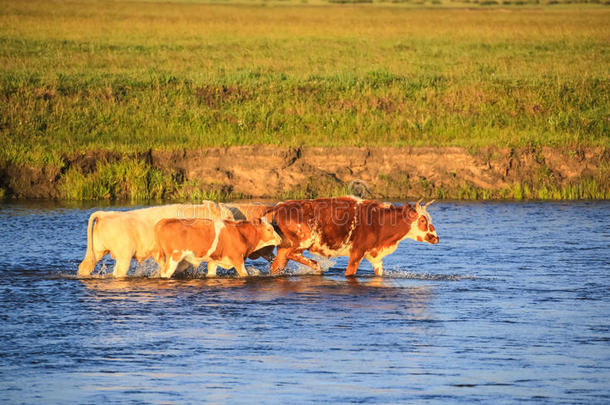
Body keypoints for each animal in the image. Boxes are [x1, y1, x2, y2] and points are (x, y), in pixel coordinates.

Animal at [154, 218, 282, 278]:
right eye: (269, 229)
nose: (280, 239)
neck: (240, 234)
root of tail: (165, 221)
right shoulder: (237, 259)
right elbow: (245, 274)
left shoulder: (213, 261)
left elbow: (211, 274)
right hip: (174, 257)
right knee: (165, 273)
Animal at [266, 196, 436, 278]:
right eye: (422, 220)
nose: (435, 238)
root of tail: (279, 206)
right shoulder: (357, 252)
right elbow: (350, 273)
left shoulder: (375, 256)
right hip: (302, 242)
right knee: (294, 255)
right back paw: (317, 267)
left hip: (284, 247)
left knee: (276, 266)